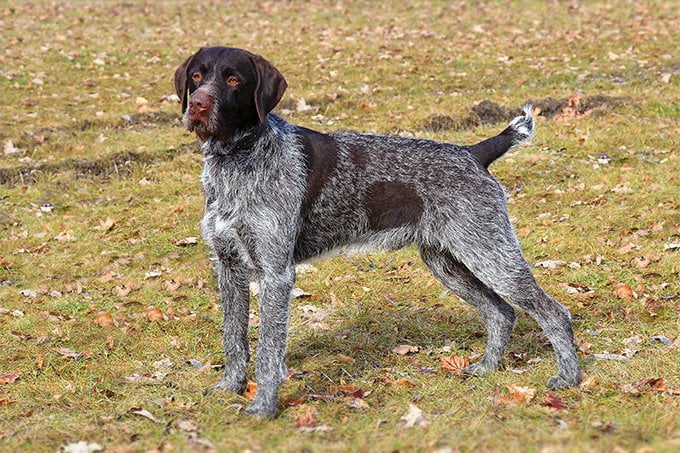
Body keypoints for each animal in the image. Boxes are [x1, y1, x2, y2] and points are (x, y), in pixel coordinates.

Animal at [173, 46, 580, 416]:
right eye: (197, 76)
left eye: (234, 80)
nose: (198, 107)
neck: (235, 159)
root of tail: (473, 153)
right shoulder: (229, 267)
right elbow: (234, 337)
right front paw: (231, 386)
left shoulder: (275, 273)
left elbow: (268, 351)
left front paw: (264, 407)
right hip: (447, 261)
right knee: (501, 313)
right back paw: (487, 368)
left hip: (489, 254)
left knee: (554, 312)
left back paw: (569, 378)